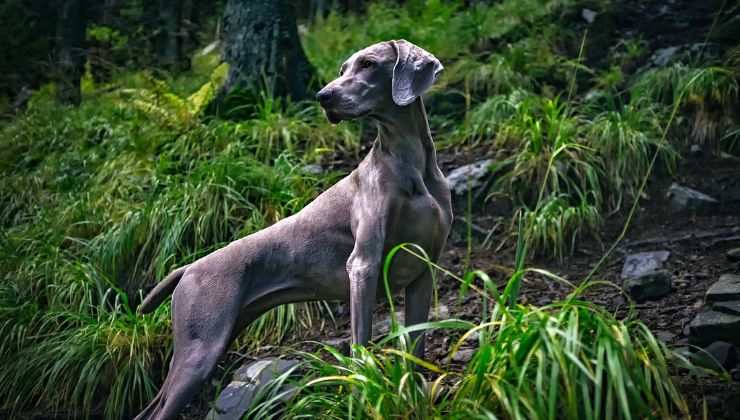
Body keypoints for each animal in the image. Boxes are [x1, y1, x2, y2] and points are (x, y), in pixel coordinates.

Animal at [136, 39, 454, 420]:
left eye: (367, 64)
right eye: (342, 69)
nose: (323, 96)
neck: (410, 163)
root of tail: (187, 267)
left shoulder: (423, 271)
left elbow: (416, 350)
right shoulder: (363, 265)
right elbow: (360, 345)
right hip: (199, 350)